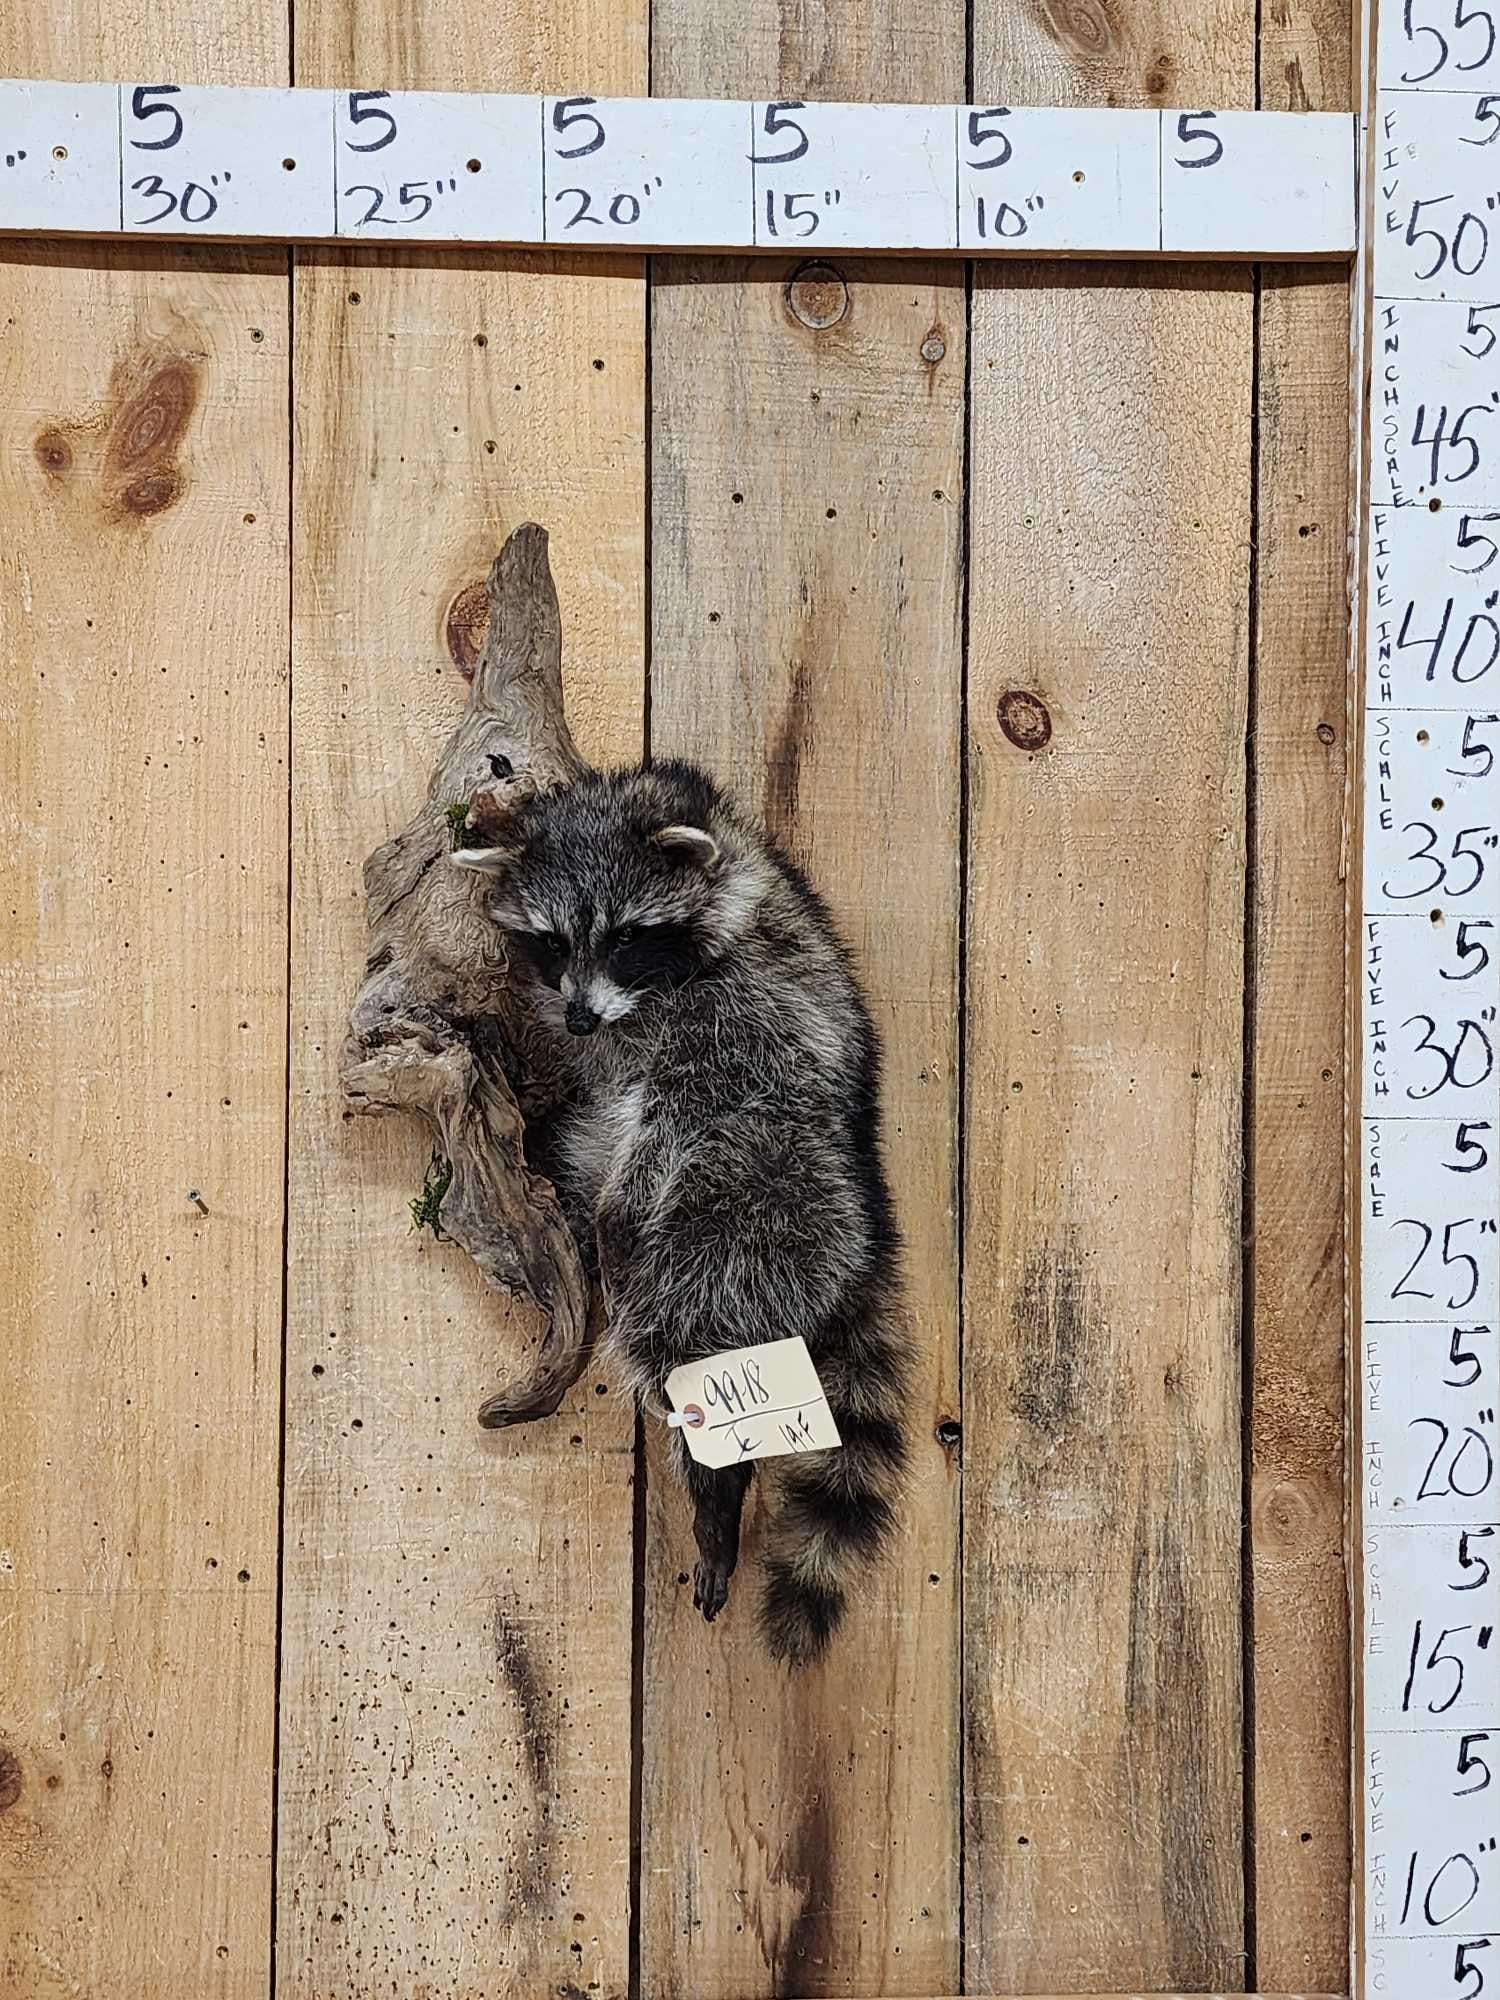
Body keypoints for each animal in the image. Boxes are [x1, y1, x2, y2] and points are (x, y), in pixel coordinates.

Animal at [452, 759, 911, 1665]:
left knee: (676, 1328)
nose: (579, 1015)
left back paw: (714, 1490)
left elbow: (676, 1114)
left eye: (627, 935)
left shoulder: (743, 1021)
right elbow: (593, 1089)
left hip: (756, 1205)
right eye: (550, 941)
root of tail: (866, 1244)